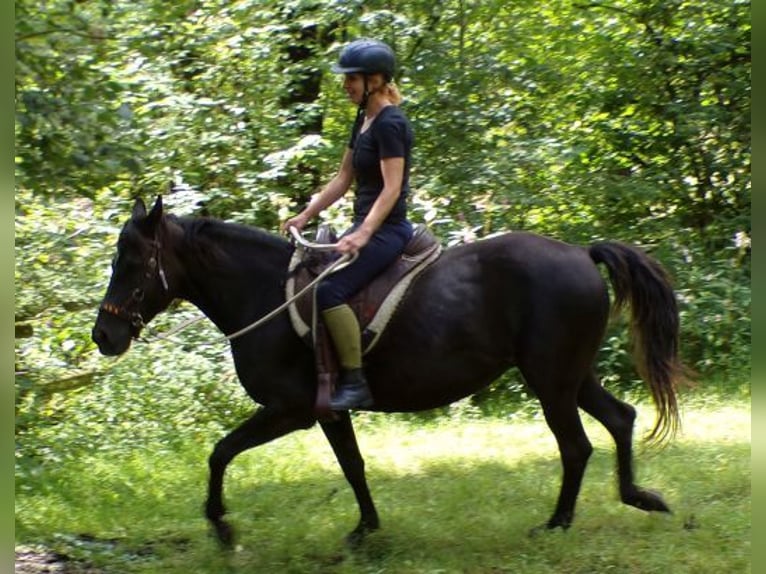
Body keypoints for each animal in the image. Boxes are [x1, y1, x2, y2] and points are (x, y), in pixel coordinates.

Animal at [93, 197, 688, 548]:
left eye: (133, 262)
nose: (104, 336)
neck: (264, 293)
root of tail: (582, 255)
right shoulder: (328, 412)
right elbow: (353, 466)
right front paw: (365, 529)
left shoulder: (289, 410)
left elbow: (220, 452)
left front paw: (220, 523)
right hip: (568, 375)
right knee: (620, 418)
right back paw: (638, 497)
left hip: (552, 380)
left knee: (577, 445)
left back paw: (557, 524)